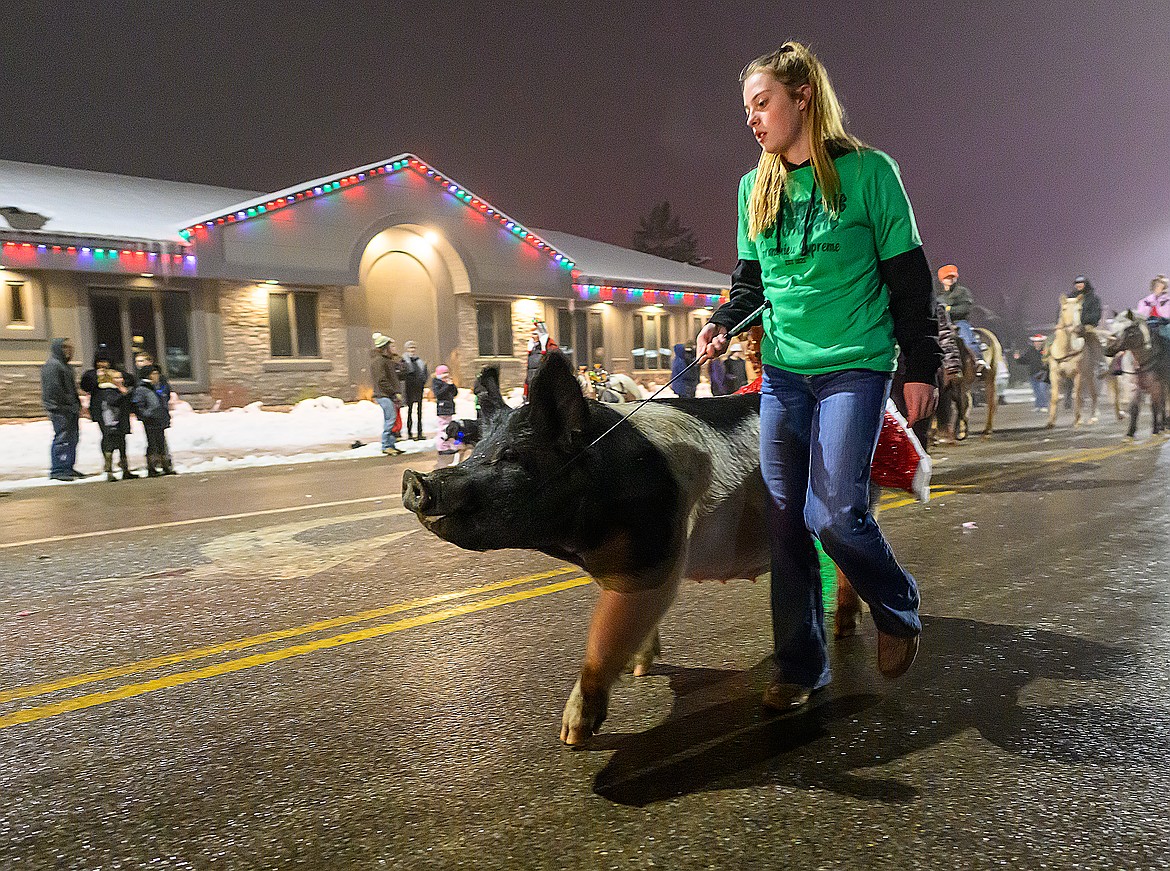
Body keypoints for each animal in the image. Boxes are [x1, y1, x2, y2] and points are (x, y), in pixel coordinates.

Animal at [397, 351, 772, 744]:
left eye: (512, 455)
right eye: (479, 450)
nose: (415, 479)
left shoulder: (655, 559)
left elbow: (601, 646)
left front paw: (571, 737)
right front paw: (640, 669)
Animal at [1048, 293, 1099, 426]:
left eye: (1079, 309)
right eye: (1064, 309)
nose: (1077, 329)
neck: (1066, 350)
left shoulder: (1078, 374)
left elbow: (1078, 396)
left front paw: (1077, 420)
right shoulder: (1054, 374)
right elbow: (1055, 396)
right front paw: (1050, 421)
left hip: (1088, 374)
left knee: (1092, 393)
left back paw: (1093, 417)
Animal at [1099, 309, 1165, 437]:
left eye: (1128, 330)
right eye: (1112, 329)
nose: (1108, 350)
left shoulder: (1155, 385)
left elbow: (1155, 407)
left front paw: (1155, 430)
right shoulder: (1132, 386)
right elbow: (1134, 408)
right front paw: (1130, 432)